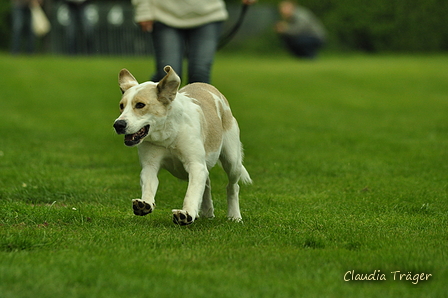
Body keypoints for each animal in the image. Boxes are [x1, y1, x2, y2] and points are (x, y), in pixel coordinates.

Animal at [113, 66, 252, 225]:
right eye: (121, 106)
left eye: (140, 105)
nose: (118, 124)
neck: (167, 135)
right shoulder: (150, 165)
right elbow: (149, 183)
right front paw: (144, 204)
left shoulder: (195, 165)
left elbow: (191, 192)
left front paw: (186, 214)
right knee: (207, 183)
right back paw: (207, 211)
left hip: (232, 161)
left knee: (232, 186)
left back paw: (234, 216)